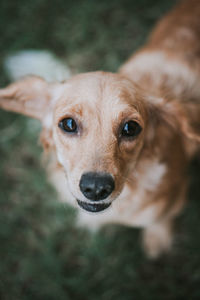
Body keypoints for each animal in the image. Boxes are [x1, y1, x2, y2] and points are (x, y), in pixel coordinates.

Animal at [0, 0, 200, 258]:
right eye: (68, 124)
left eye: (130, 127)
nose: (95, 189)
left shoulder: (176, 195)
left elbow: (159, 220)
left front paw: (157, 237)